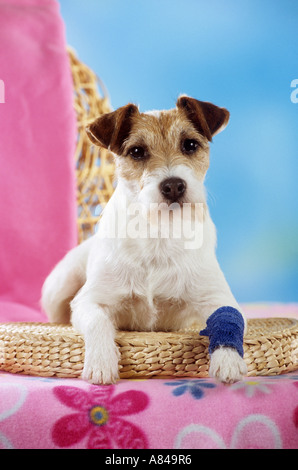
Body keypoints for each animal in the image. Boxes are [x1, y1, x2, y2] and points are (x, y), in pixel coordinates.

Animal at [41, 95, 247, 386]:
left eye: (190, 144)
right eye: (137, 151)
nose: (174, 185)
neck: (159, 232)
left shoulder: (217, 298)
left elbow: (228, 320)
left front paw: (228, 359)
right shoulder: (89, 301)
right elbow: (98, 321)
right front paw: (101, 362)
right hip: (59, 284)